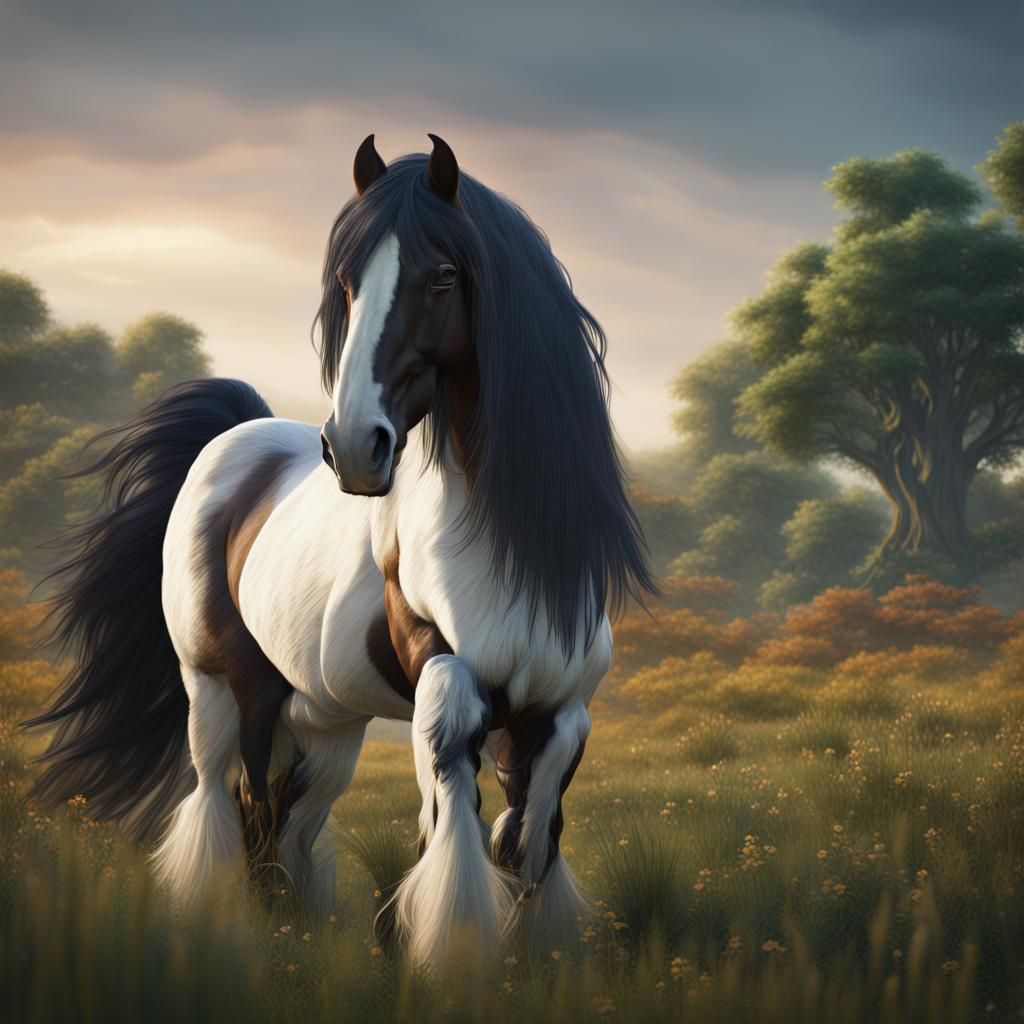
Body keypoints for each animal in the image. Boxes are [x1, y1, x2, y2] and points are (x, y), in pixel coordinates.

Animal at [26, 134, 656, 967]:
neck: (509, 546)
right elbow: (450, 829)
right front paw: (448, 953)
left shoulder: (559, 714)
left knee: (294, 814)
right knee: (237, 804)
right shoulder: (446, 684)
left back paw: (300, 926)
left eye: (444, 276)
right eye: (349, 286)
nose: (356, 447)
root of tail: (238, 438)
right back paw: (246, 932)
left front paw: (528, 961)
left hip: (325, 724)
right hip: (225, 694)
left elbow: (524, 844)